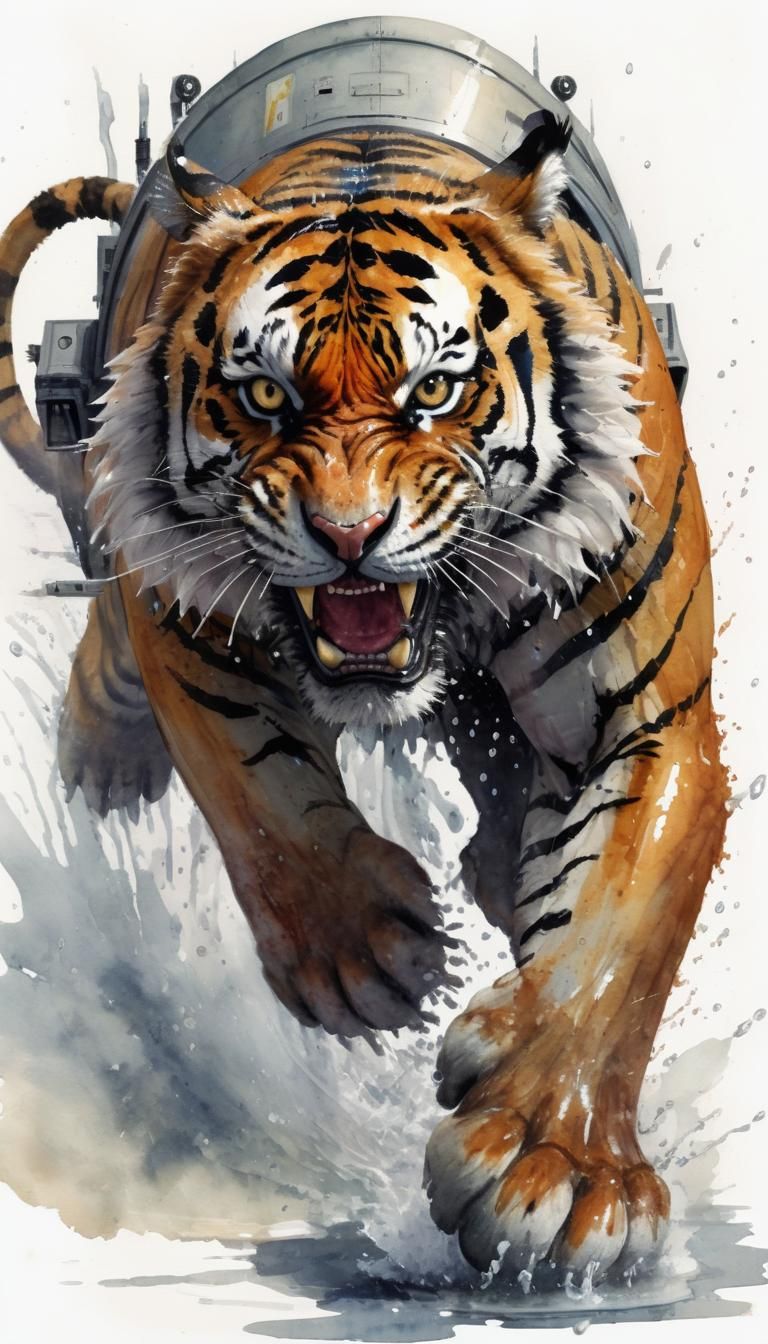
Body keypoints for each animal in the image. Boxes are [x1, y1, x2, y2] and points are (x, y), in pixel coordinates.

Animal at [0, 111, 727, 1285]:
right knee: (106, 671)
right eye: (264, 396)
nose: (349, 536)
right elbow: (260, 799)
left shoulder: (651, 713)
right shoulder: (184, 623)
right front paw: (371, 957)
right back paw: (104, 776)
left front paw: (558, 1168)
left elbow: (619, 929)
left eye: (433, 391)